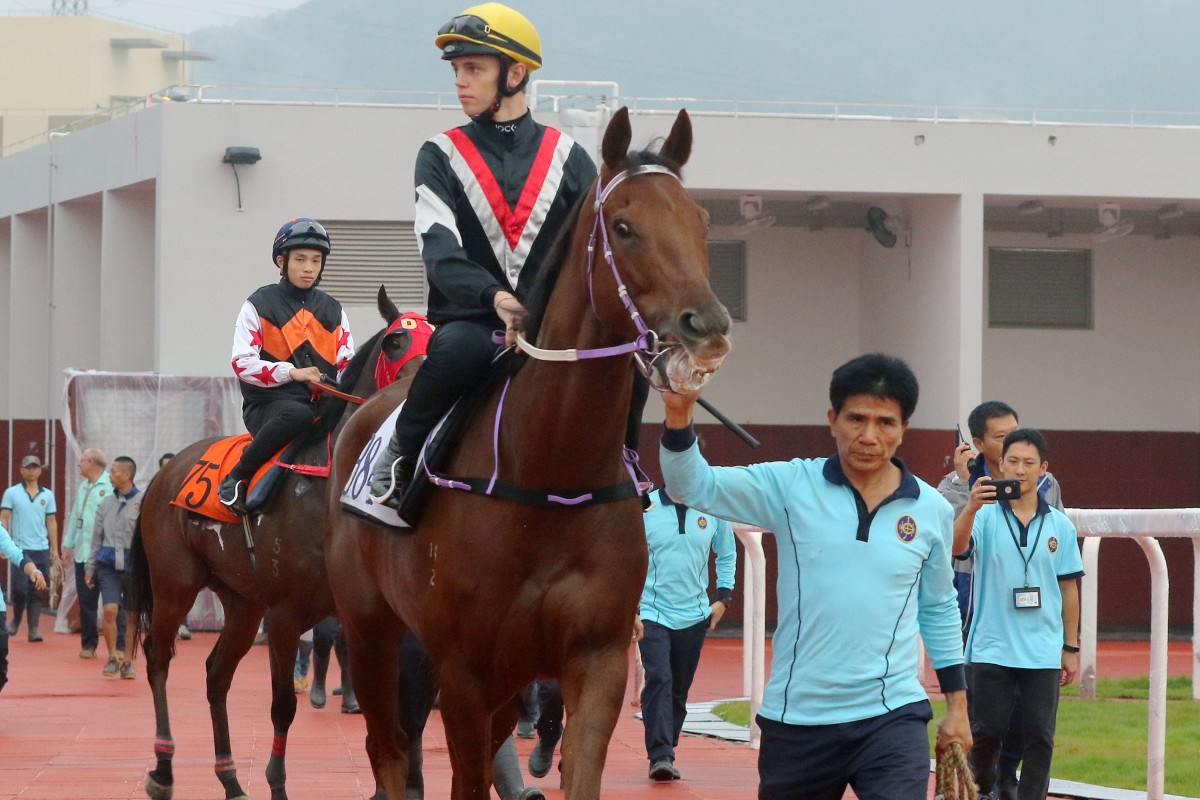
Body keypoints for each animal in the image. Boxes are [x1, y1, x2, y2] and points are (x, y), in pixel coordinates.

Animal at [126, 289, 424, 800]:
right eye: (395, 341)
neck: (326, 484)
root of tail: (166, 473)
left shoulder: (370, 618)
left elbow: (390, 719)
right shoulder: (285, 614)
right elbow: (283, 706)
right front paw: (277, 783)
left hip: (242, 603)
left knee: (216, 674)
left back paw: (230, 778)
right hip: (174, 585)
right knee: (158, 658)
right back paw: (163, 770)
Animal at [328, 107, 729, 800]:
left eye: (700, 221)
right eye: (624, 226)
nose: (706, 325)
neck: (549, 475)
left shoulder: (595, 660)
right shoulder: (463, 672)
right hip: (371, 629)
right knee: (390, 747)